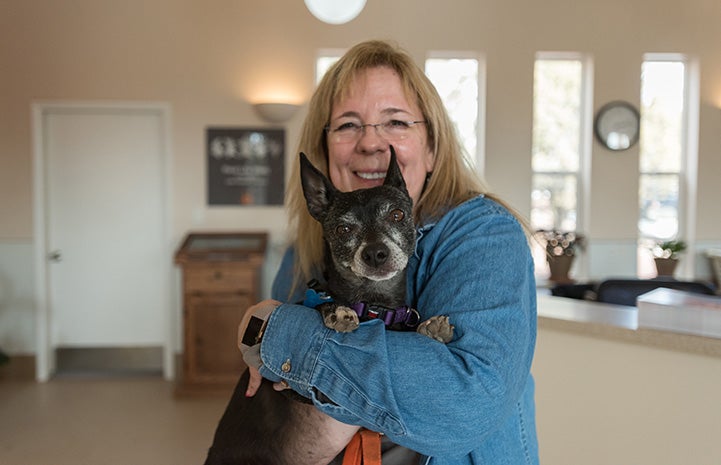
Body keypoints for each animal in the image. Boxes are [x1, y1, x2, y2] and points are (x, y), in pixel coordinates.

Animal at [202, 146, 450, 464]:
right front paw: (336, 311)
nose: (375, 253)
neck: (374, 305)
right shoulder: (303, 390)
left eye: (397, 215)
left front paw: (430, 328)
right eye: (343, 228)